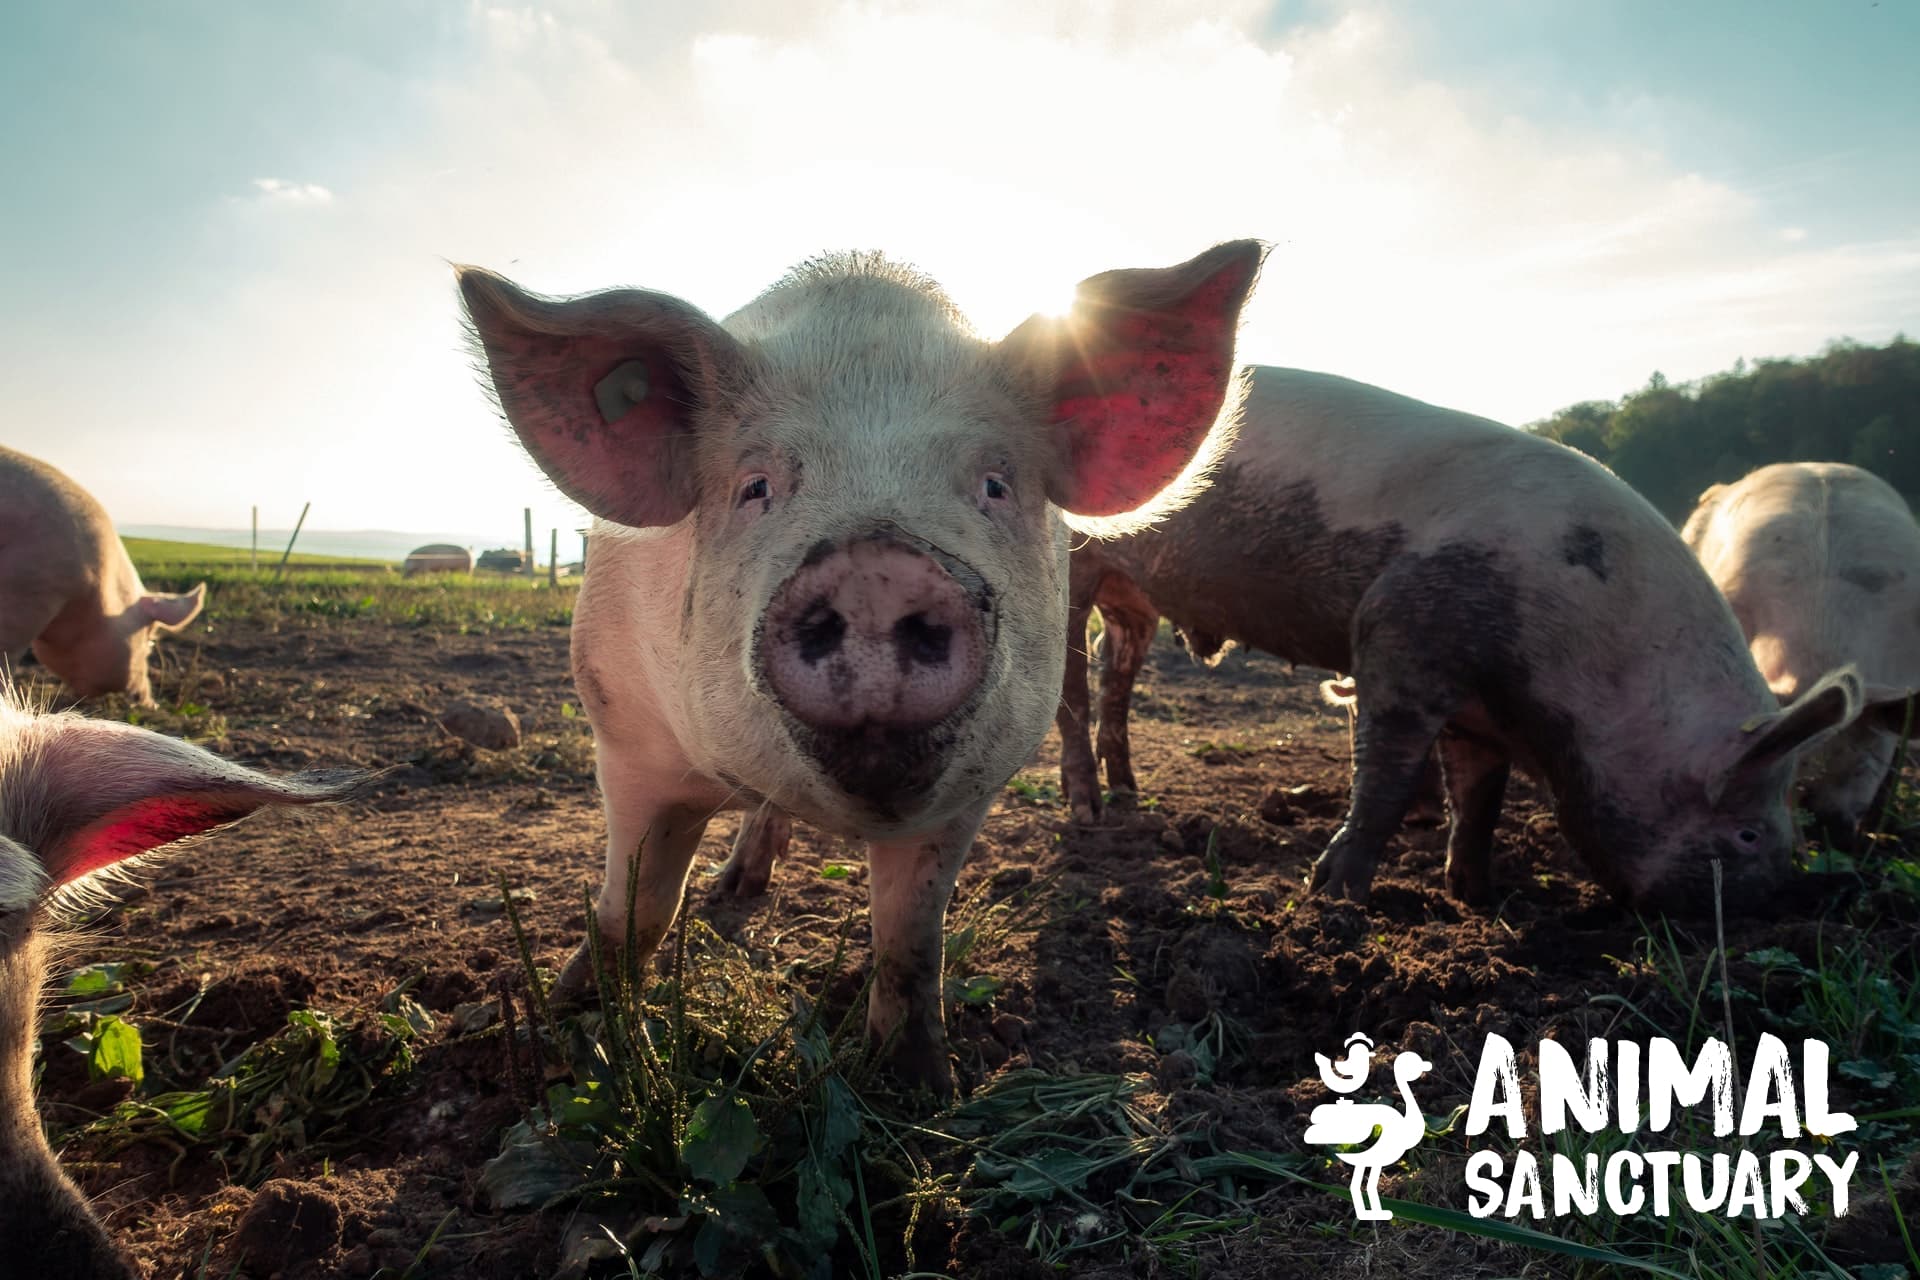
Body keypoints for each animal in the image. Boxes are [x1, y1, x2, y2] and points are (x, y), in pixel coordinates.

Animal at [458, 242, 1267, 1090]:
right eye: (755, 486)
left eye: (994, 484)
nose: (878, 566)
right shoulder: (625, 734)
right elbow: (635, 908)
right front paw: (572, 1031)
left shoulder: (972, 789)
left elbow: (910, 940)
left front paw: (920, 1087)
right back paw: (733, 890)